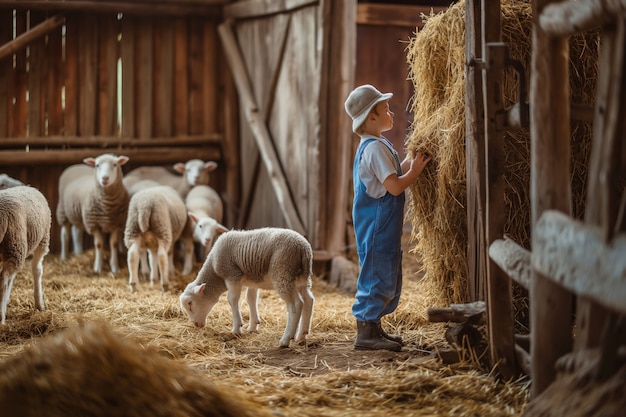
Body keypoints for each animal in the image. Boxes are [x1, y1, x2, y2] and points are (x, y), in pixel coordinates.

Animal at [0, 185, 51, 324]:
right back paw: (1, 318)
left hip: (13, 248)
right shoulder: (42, 242)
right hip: (16, 244)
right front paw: (39, 305)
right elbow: (37, 270)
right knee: (4, 281)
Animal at [178, 226, 314, 346]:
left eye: (190, 304)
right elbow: (250, 299)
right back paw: (301, 335)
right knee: (309, 300)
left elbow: (232, 299)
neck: (215, 271)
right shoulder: (253, 281)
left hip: (282, 272)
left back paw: (286, 339)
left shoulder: (232, 274)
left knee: (296, 304)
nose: (196, 324)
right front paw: (253, 326)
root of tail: (304, 248)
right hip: (301, 279)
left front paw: (237, 329)